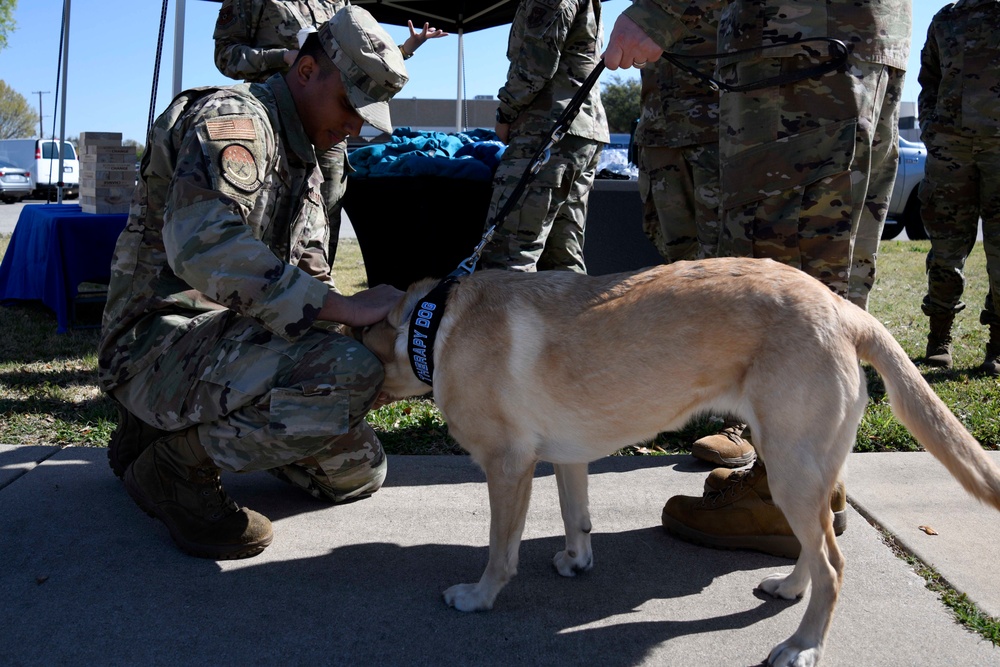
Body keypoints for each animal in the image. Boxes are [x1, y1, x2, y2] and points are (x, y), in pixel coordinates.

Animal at [352, 260, 1000, 667]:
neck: (433, 325)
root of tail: (845, 310)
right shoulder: (567, 459)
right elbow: (575, 516)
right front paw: (576, 560)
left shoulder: (507, 466)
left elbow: (499, 550)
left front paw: (480, 596)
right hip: (802, 469)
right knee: (818, 551)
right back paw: (791, 589)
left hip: (791, 467)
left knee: (835, 566)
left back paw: (804, 646)